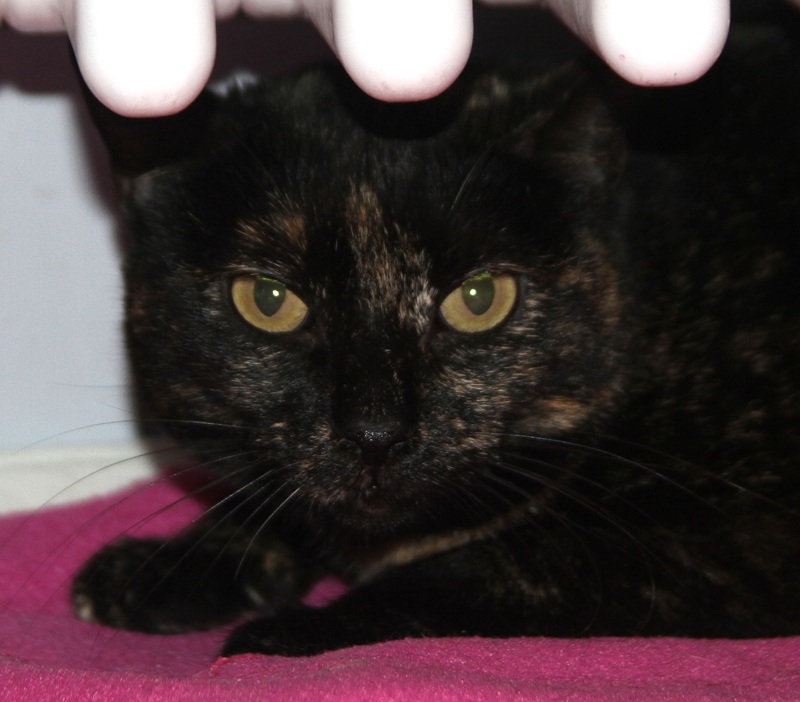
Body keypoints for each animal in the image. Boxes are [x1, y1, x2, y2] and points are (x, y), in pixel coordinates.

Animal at [71, 22, 800, 657]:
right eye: (268, 301)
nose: (375, 432)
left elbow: (502, 566)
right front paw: (170, 563)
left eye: (480, 298)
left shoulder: (725, 541)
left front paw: (285, 632)